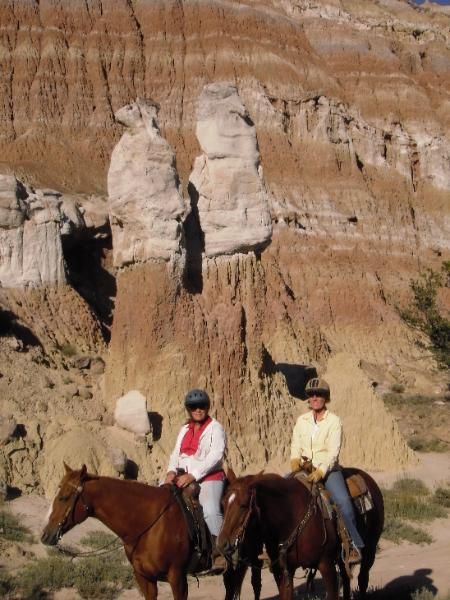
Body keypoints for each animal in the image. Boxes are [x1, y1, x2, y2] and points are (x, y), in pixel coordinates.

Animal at [218, 468, 384, 600]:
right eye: (223, 504)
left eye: (243, 506)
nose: (222, 543)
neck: (290, 516)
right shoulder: (284, 572)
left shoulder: (326, 565)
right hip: (343, 558)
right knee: (347, 578)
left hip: (370, 550)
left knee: (363, 579)